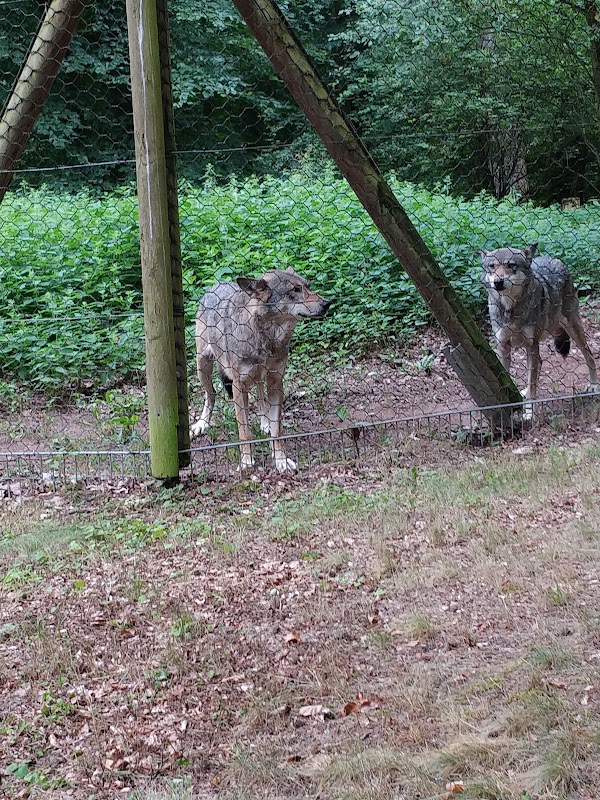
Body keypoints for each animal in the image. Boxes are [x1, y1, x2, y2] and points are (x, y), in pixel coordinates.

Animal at [191, 267, 331, 471]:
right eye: (296, 289)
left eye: (308, 286)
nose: (327, 303)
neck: (267, 339)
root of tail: (218, 283)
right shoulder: (238, 386)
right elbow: (244, 431)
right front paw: (246, 462)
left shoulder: (276, 381)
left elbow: (277, 430)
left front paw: (281, 461)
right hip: (202, 366)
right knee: (211, 395)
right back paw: (201, 424)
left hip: (259, 377)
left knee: (260, 394)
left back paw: (264, 422)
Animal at [479, 243, 598, 419]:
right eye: (492, 267)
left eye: (511, 265)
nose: (498, 282)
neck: (511, 309)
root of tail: (554, 258)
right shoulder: (503, 346)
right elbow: (508, 379)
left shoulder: (531, 345)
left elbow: (532, 384)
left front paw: (529, 413)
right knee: (540, 364)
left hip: (574, 330)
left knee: (589, 355)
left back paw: (593, 386)